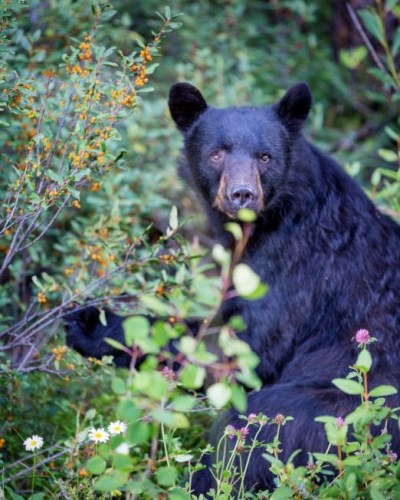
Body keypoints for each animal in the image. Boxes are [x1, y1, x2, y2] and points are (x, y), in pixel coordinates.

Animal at [65, 82, 400, 492]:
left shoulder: (296, 268)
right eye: (216, 153)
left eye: (265, 157)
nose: (242, 194)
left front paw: (94, 325)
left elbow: (243, 351)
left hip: (340, 414)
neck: (273, 219)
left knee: (251, 433)